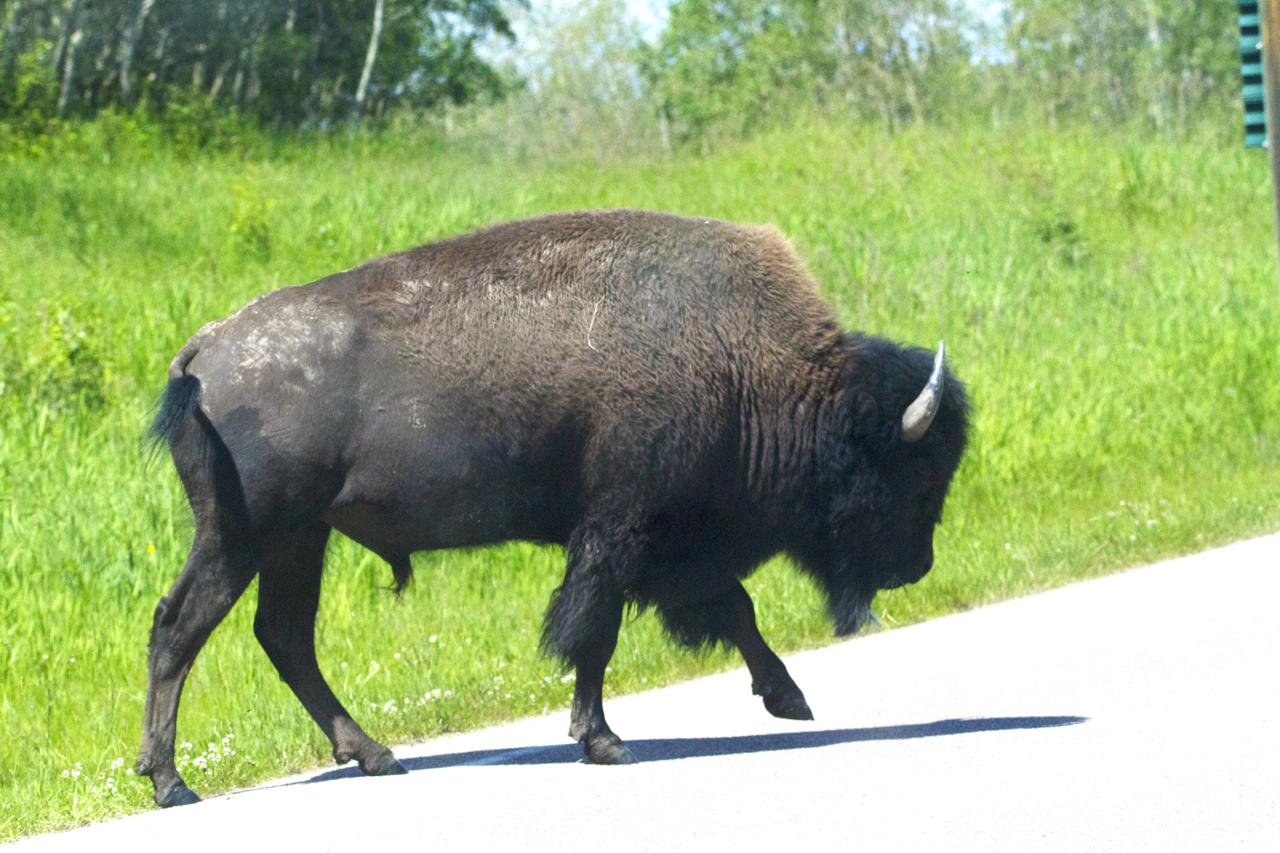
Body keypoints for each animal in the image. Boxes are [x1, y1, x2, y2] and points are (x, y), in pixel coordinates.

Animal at [137, 209, 969, 807]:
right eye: (911, 472)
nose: (916, 565)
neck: (754, 368)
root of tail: (205, 349)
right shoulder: (618, 533)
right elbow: (594, 632)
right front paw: (604, 740)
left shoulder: (667, 548)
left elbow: (733, 609)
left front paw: (790, 698)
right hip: (243, 535)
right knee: (181, 626)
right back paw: (173, 782)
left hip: (297, 540)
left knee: (283, 636)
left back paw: (374, 755)